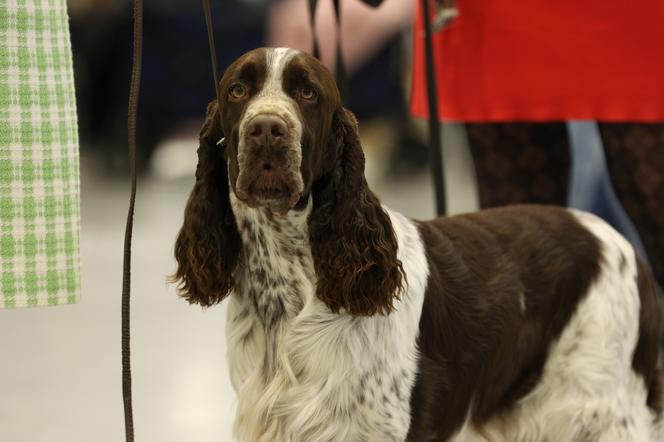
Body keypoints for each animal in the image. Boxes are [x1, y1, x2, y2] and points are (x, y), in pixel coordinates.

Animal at [172, 46, 664, 440]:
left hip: (600, 408)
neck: (289, 284)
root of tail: (623, 245)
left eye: (308, 94)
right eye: (238, 90)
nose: (267, 129)